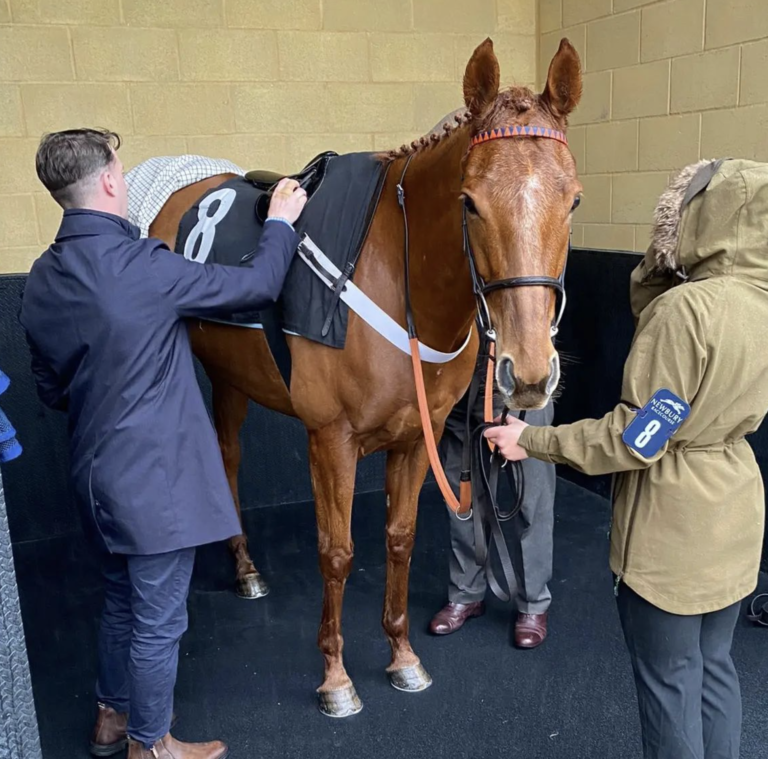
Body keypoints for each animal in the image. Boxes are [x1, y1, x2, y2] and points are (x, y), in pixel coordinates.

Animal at [148, 40, 584, 720]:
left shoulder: (416, 438)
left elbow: (399, 540)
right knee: (225, 457)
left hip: (233, 377)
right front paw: (335, 678)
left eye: (574, 201)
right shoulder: (332, 439)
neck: (393, 278)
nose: (530, 371)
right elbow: (338, 552)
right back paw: (243, 569)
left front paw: (403, 658)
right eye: (469, 201)